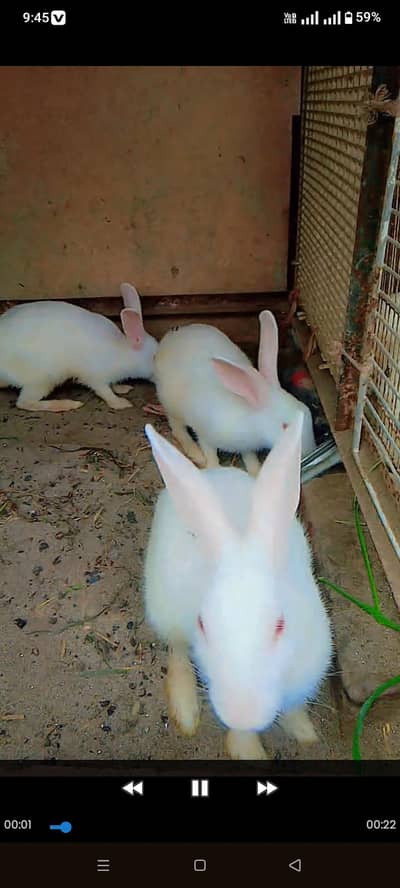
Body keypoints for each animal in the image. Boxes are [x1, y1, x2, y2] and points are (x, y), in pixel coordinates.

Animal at [0, 282, 158, 412]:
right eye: (154, 357)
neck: (121, 352)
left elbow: (113, 385)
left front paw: (123, 388)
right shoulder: (94, 376)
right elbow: (105, 392)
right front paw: (121, 403)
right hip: (42, 380)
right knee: (25, 403)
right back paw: (67, 404)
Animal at [143, 414, 333, 760]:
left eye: (280, 625)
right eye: (202, 625)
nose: (242, 712)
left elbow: (294, 710)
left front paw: (304, 732)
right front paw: (249, 751)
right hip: (164, 608)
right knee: (177, 652)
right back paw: (186, 711)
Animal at [152, 310, 316, 476]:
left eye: (308, 412)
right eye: (285, 426)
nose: (310, 450)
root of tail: (170, 336)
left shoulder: (247, 447)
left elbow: (250, 458)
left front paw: (256, 472)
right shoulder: (204, 433)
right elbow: (209, 452)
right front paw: (213, 467)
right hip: (170, 404)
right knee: (177, 429)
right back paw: (196, 454)